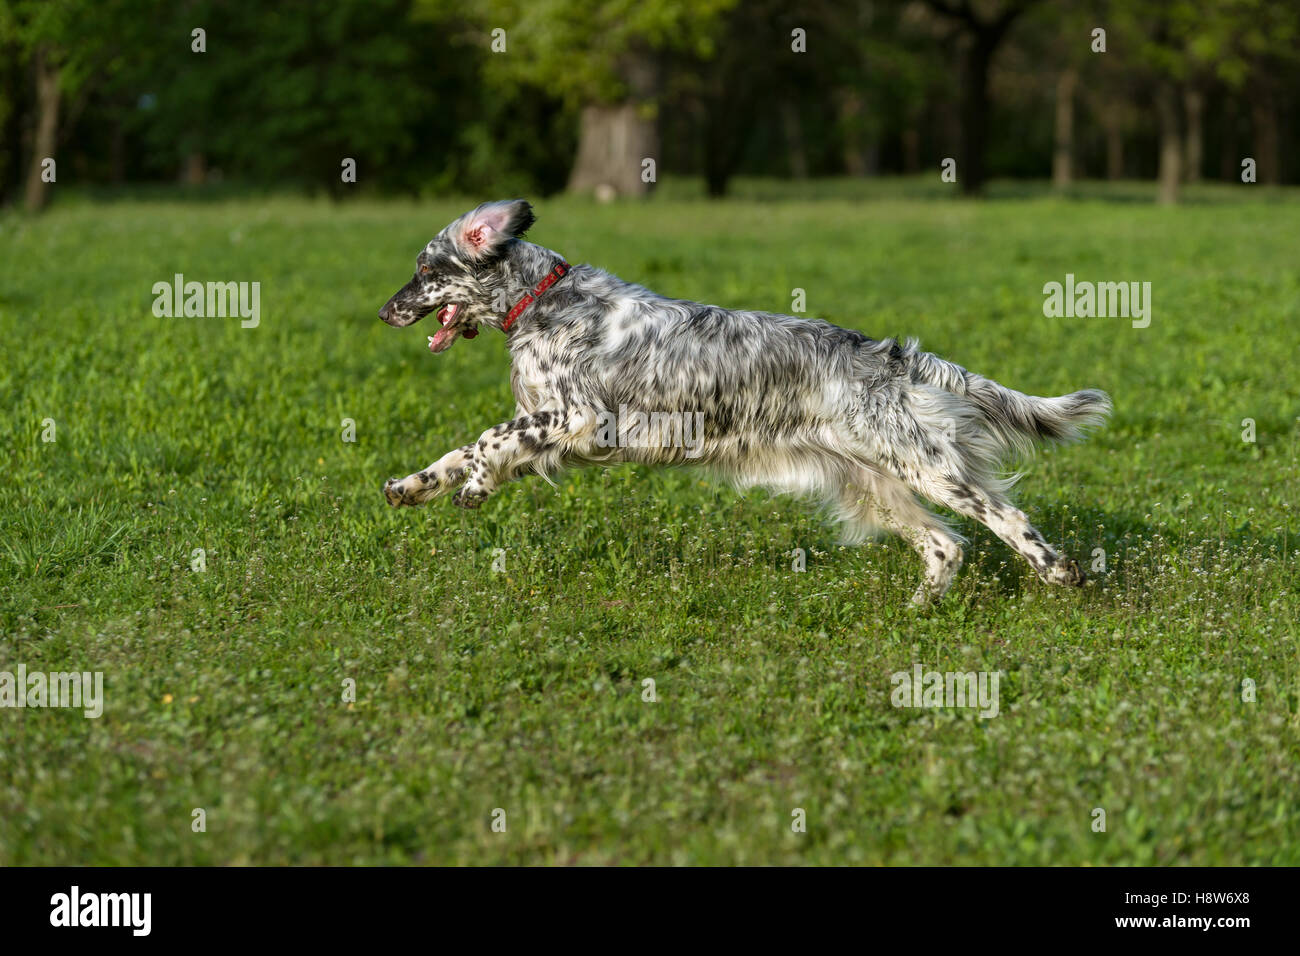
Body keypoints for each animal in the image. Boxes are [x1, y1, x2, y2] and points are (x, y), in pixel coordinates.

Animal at [379, 200, 1112, 606]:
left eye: (425, 271)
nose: (385, 311)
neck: (543, 298)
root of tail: (887, 354)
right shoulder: (550, 426)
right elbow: (462, 448)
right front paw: (414, 485)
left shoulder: (577, 418)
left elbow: (489, 439)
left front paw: (474, 486)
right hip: (872, 483)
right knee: (943, 547)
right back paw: (916, 611)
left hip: (925, 466)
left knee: (1006, 518)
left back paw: (1061, 573)